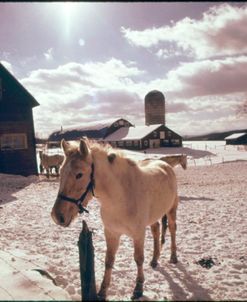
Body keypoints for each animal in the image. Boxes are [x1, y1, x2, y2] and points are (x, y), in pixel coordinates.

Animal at [51, 138, 179, 300]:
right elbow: (109, 260)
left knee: (173, 230)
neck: (121, 197)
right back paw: (155, 259)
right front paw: (102, 291)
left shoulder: (138, 234)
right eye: (61, 172)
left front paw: (138, 288)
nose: (57, 216)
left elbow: (138, 259)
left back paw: (173, 257)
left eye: (79, 174)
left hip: (172, 210)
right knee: (156, 230)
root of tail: (165, 165)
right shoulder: (111, 233)